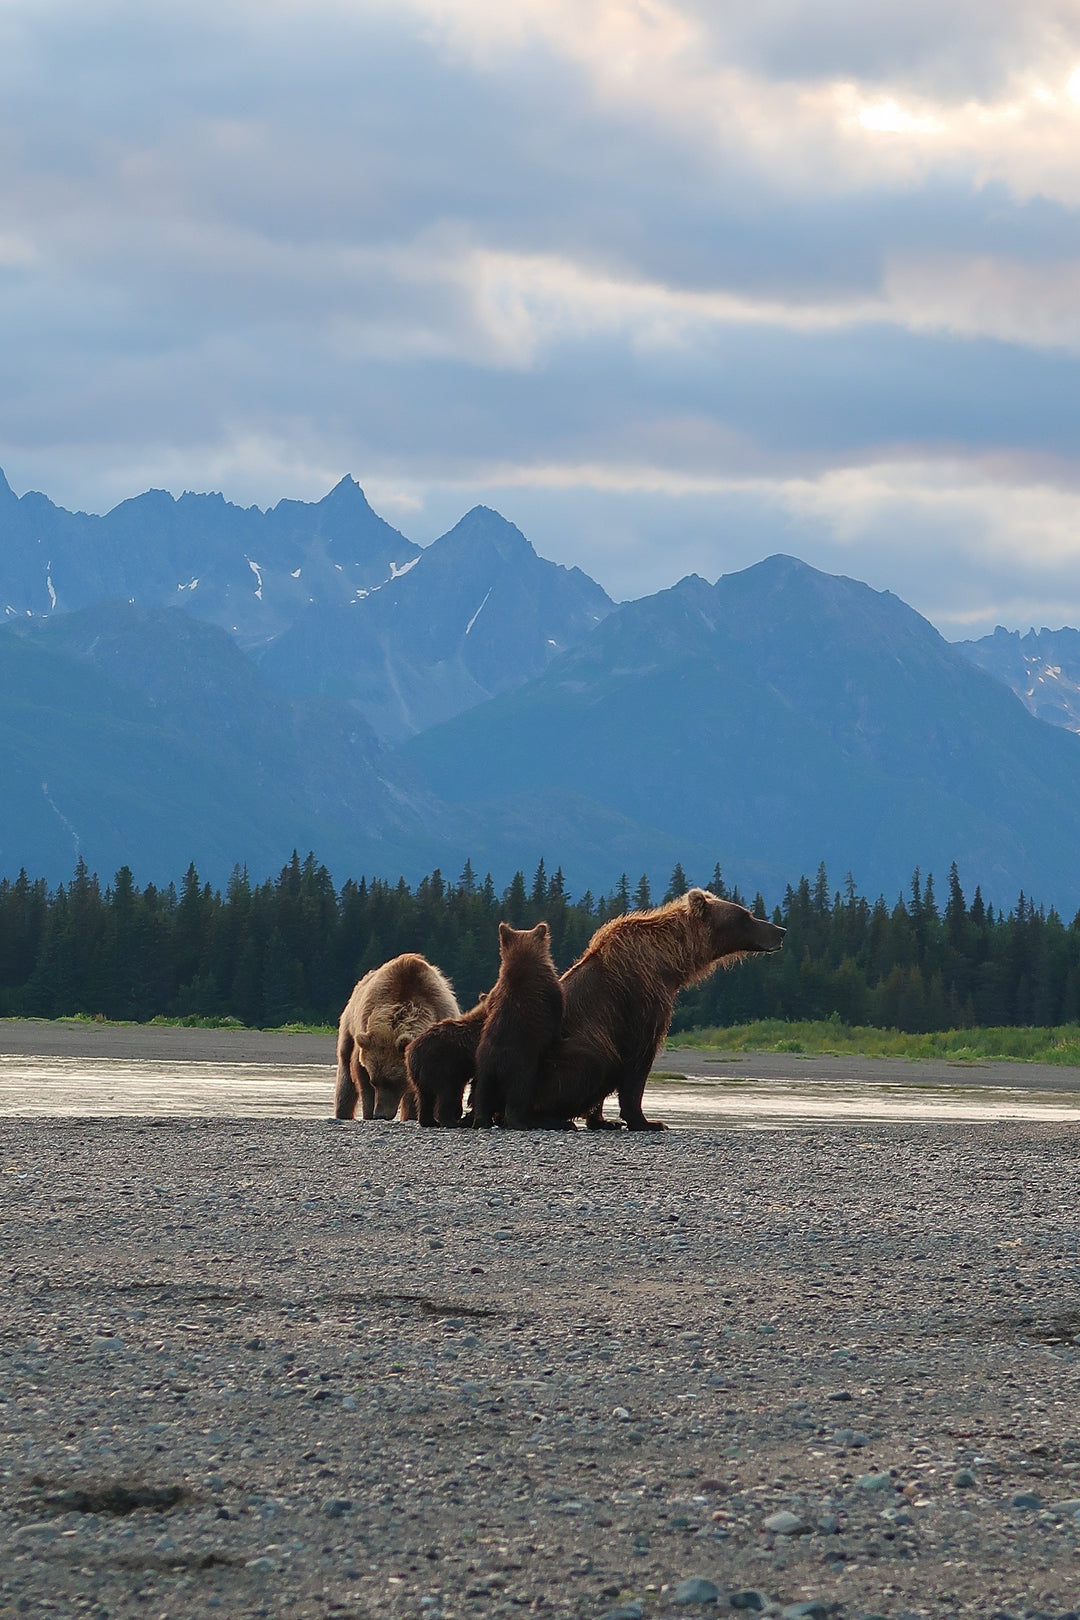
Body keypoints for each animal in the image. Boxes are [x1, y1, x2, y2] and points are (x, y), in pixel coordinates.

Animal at [335, 952, 459, 1121]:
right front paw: (368, 1112)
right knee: (345, 1074)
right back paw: (343, 1113)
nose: (380, 1114)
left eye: (394, 1082)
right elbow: (361, 1075)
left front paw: (412, 1114)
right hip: (349, 1024)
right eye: (375, 1081)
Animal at [469, 920, 563, 1134]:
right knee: (518, 1096)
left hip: (484, 1068)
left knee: (482, 1095)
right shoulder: (549, 990)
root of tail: (498, 1061)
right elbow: (558, 1011)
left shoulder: (496, 991)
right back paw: (520, 1122)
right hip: (522, 1067)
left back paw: (481, 1120)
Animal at [531, 887, 786, 1127]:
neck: (669, 963)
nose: (781, 931)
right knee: (592, 1061)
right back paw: (552, 1118)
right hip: (561, 1055)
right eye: (746, 916)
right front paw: (648, 1121)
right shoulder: (641, 999)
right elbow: (638, 1059)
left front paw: (604, 1120)